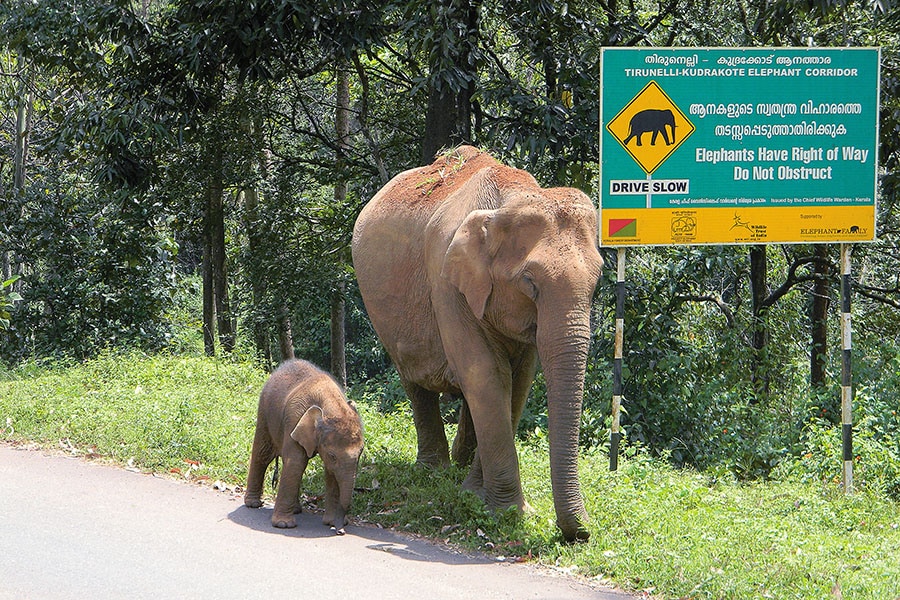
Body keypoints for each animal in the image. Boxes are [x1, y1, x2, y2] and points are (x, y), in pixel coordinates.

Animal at [246, 358, 366, 532]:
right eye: (332, 455)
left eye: (361, 452)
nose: (340, 530)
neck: (330, 402)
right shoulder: (294, 419)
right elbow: (296, 463)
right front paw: (284, 525)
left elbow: (331, 473)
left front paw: (330, 521)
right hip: (264, 412)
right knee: (262, 454)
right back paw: (253, 504)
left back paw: (296, 509)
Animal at [352, 146, 604, 544]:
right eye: (530, 282)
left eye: (597, 281)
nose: (580, 534)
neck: (509, 200)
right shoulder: (446, 281)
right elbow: (486, 375)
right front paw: (504, 510)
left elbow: (517, 383)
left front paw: (476, 494)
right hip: (383, 313)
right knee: (414, 381)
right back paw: (435, 471)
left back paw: (459, 468)